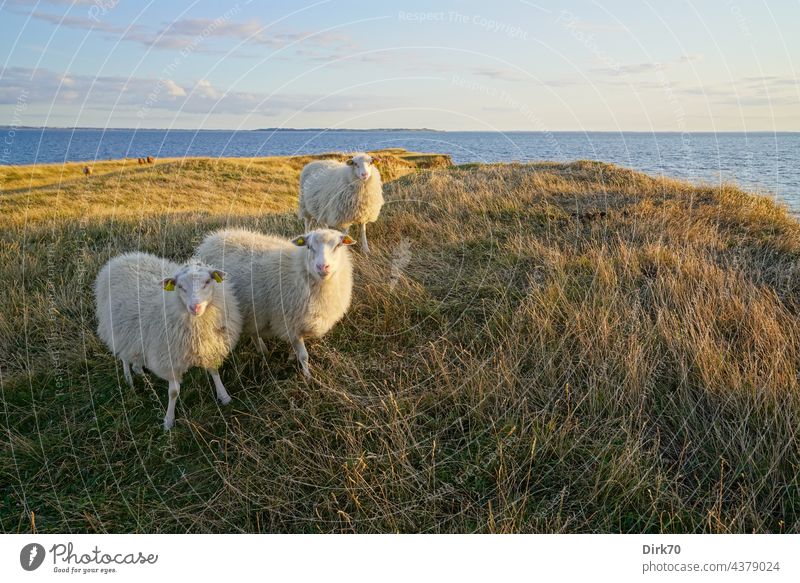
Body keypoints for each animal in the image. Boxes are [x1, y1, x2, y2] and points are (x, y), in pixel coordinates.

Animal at [95, 253, 242, 432]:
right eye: (180, 286)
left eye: (207, 282)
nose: (195, 307)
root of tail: (121, 258)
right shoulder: (169, 358)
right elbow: (174, 392)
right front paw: (168, 420)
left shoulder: (209, 348)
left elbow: (214, 372)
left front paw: (224, 396)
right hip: (118, 330)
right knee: (123, 356)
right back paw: (128, 379)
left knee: (136, 359)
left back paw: (142, 375)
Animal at [195, 228, 354, 378]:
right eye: (309, 247)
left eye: (338, 245)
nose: (322, 267)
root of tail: (212, 238)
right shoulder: (290, 322)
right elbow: (304, 356)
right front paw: (308, 378)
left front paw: (291, 358)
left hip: (252, 309)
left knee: (253, 330)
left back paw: (263, 350)